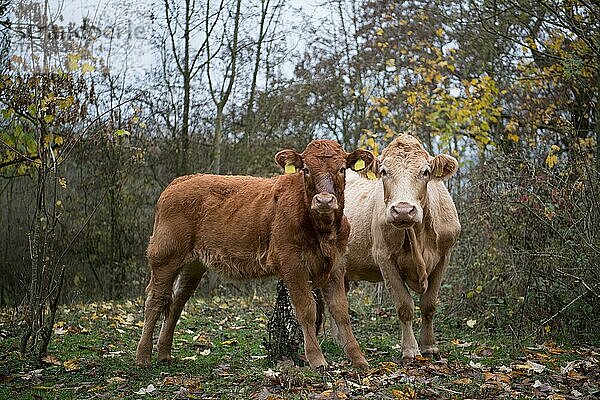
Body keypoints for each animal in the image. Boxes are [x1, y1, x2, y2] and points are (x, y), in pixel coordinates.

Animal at [136, 140, 376, 368]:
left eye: (342, 169)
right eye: (306, 169)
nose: (324, 200)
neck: (323, 232)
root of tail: (181, 181)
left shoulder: (337, 265)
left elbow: (341, 312)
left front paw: (359, 359)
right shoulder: (292, 263)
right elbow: (307, 310)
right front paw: (317, 359)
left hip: (193, 264)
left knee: (177, 301)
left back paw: (164, 353)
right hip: (165, 256)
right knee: (155, 300)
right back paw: (143, 357)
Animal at [332, 134, 460, 360]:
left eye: (425, 172)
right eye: (384, 171)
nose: (403, 210)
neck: (419, 237)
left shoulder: (444, 257)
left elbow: (429, 305)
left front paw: (430, 346)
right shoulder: (385, 259)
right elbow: (404, 306)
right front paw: (410, 349)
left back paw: (340, 342)